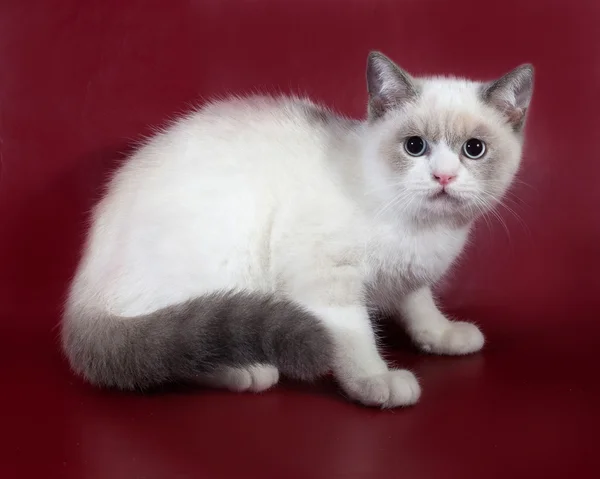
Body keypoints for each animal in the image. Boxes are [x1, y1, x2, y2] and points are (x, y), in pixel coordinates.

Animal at [63, 51, 536, 408]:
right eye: (414, 146)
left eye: (474, 150)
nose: (443, 177)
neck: (426, 230)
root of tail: (81, 294)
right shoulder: (325, 279)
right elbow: (355, 337)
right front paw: (377, 382)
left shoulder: (410, 275)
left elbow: (420, 305)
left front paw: (443, 336)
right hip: (234, 254)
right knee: (180, 346)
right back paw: (247, 370)